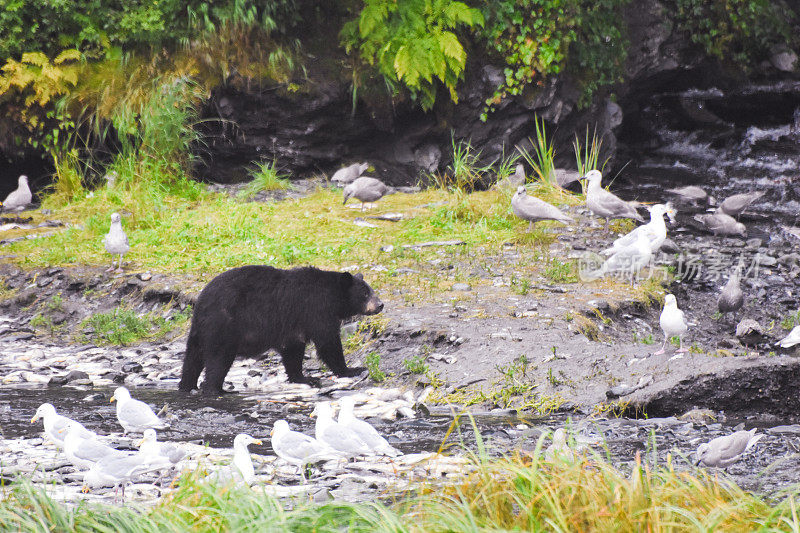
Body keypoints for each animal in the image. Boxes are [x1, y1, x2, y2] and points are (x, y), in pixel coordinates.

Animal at [179, 264, 384, 392]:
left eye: (371, 290)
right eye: (365, 293)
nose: (380, 305)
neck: (332, 295)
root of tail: (200, 301)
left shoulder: (294, 325)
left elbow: (293, 350)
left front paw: (304, 378)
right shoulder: (316, 310)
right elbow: (328, 343)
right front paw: (351, 369)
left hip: (199, 331)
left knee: (192, 359)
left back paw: (187, 385)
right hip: (223, 325)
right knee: (218, 360)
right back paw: (216, 389)